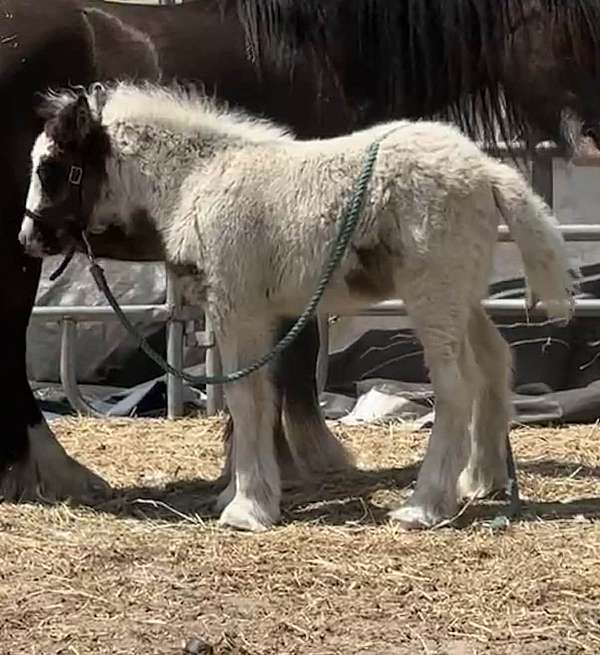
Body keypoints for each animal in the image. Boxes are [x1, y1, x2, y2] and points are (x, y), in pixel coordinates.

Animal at [3, 0, 600, 505]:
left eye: (50, 168)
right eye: (577, 33)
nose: (595, 141)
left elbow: (273, 366)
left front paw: (265, 473)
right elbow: (280, 363)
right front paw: (274, 469)